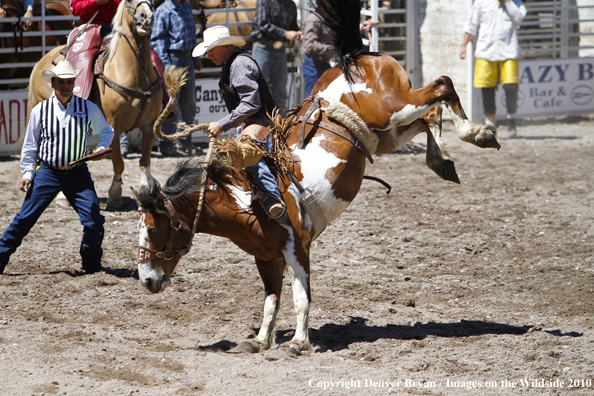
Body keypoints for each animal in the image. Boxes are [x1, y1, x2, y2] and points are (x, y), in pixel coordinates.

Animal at [28, 0, 160, 210]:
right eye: (129, 2)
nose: (146, 17)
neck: (133, 72)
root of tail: (42, 60)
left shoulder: (149, 126)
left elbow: (144, 162)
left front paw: (146, 194)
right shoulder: (113, 126)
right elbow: (119, 163)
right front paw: (115, 196)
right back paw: (62, 196)